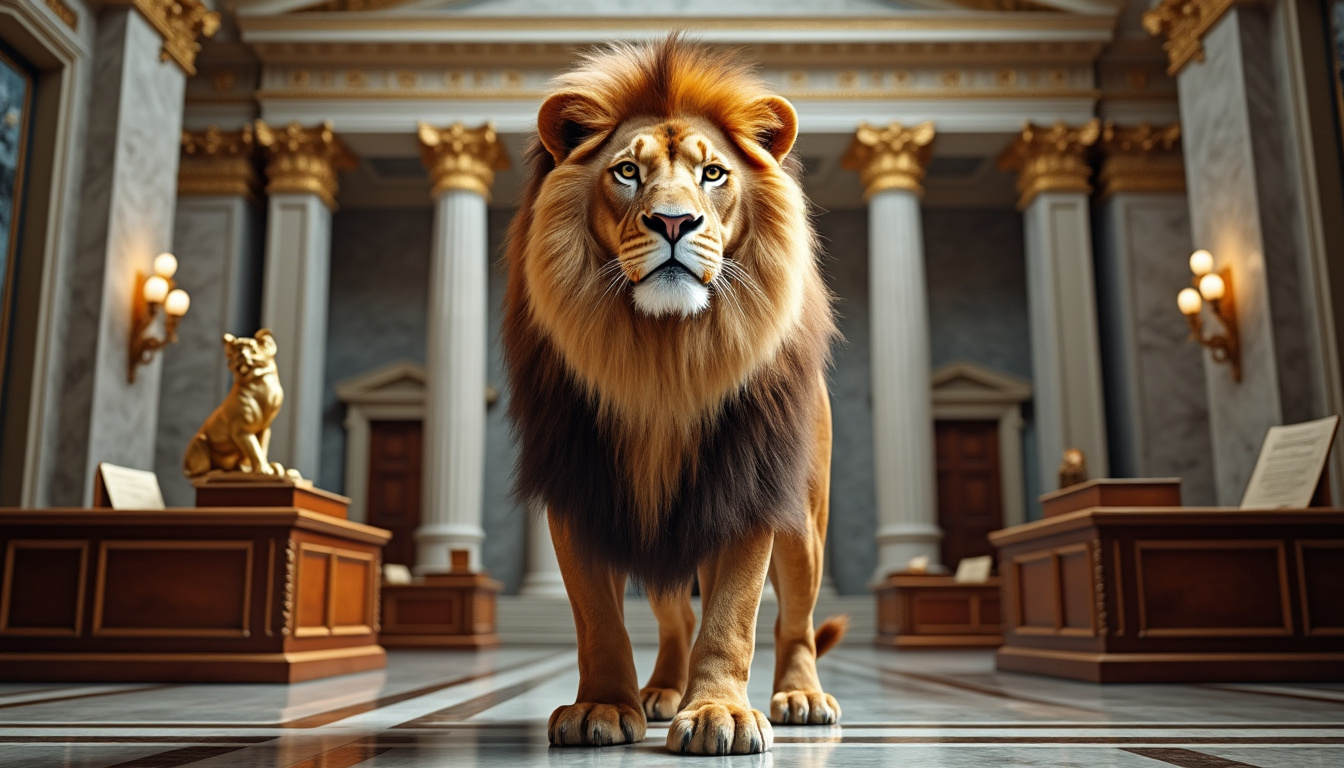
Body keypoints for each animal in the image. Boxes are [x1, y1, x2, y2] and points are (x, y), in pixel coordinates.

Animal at [502, 37, 843, 755]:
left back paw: (800, 696)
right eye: (628, 171)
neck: (663, 358)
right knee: (675, 617)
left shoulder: (747, 486)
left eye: (713, 174)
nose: (673, 221)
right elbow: (598, 617)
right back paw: (660, 690)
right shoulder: (579, 486)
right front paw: (604, 706)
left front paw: (719, 712)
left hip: (804, 524)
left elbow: (734, 616)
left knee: (795, 621)